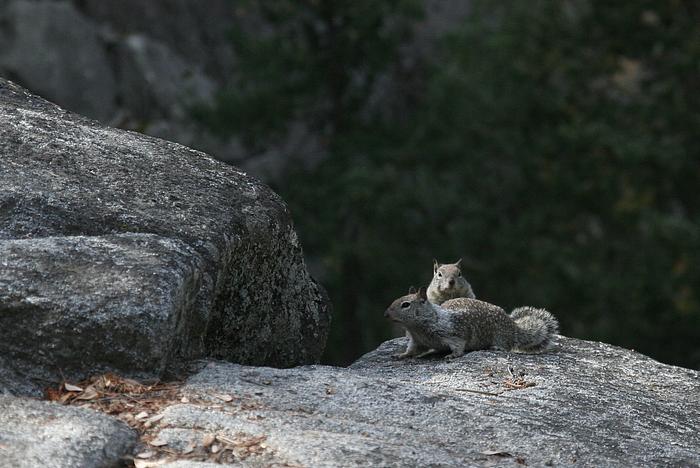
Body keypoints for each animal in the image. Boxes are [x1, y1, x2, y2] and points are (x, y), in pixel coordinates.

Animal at [382, 286, 556, 358]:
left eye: (405, 305)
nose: (385, 314)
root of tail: (513, 327)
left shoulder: (454, 333)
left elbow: (459, 345)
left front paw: (453, 355)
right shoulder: (417, 341)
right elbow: (412, 350)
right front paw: (401, 355)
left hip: (500, 335)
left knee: (506, 346)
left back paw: (496, 347)